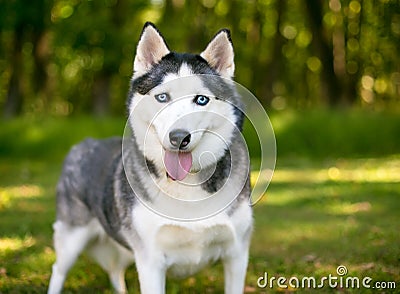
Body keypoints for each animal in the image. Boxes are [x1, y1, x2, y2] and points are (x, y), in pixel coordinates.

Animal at [48, 21, 252, 292]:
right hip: (72, 239)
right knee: (58, 270)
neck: (186, 185)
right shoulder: (150, 262)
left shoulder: (237, 255)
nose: (179, 137)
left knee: (115, 271)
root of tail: (84, 143)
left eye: (201, 99)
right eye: (162, 97)